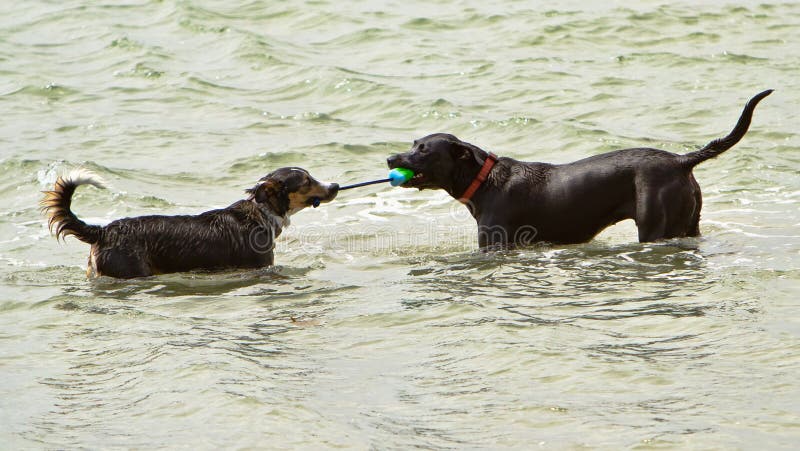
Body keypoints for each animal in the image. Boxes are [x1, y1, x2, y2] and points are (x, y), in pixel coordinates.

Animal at [388, 90, 768, 249]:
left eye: (423, 150)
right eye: (412, 142)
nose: (391, 159)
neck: (485, 182)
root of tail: (681, 160)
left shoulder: (494, 244)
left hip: (657, 226)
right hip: (689, 223)